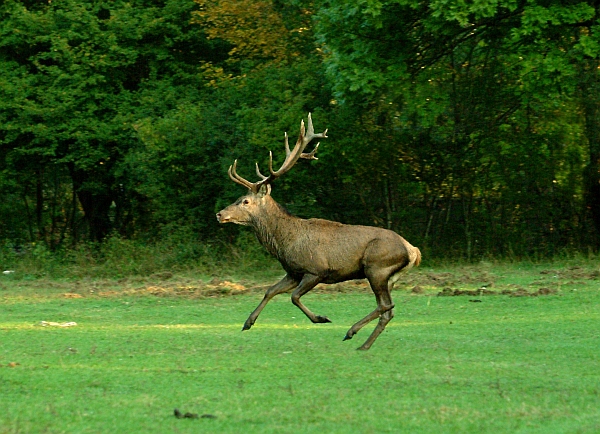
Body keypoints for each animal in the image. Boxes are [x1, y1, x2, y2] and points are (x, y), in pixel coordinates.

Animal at [217, 114, 422, 350]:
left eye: (245, 201)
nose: (220, 214)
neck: (284, 242)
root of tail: (414, 251)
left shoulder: (316, 270)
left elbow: (294, 297)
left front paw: (321, 318)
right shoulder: (293, 272)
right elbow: (270, 290)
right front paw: (248, 322)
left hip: (376, 267)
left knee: (386, 306)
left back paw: (351, 331)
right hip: (388, 276)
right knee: (388, 310)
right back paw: (363, 345)